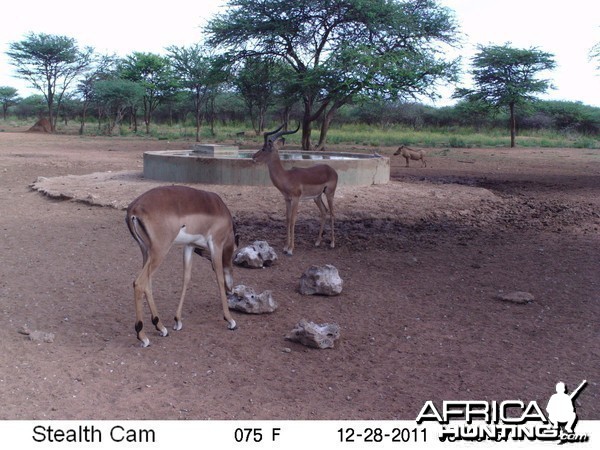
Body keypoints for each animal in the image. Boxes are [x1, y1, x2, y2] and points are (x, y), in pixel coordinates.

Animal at [125, 185, 238, 346]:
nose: (232, 290)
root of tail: (134, 210)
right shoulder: (216, 244)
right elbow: (219, 277)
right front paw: (230, 320)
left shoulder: (189, 246)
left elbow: (186, 278)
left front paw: (177, 321)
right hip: (160, 252)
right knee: (139, 283)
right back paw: (143, 336)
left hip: (146, 252)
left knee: (147, 284)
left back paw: (161, 328)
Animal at [253, 125, 338, 255]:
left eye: (263, 148)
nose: (253, 157)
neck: (286, 177)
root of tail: (332, 170)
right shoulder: (287, 199)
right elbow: (287, 219)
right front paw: (285, 247)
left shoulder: (296, 199)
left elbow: (293, 220)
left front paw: (290, 249)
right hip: (317, 197)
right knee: (324, 211)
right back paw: (317, 242)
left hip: (329, 194)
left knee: (332, 213)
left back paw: (332, 243)